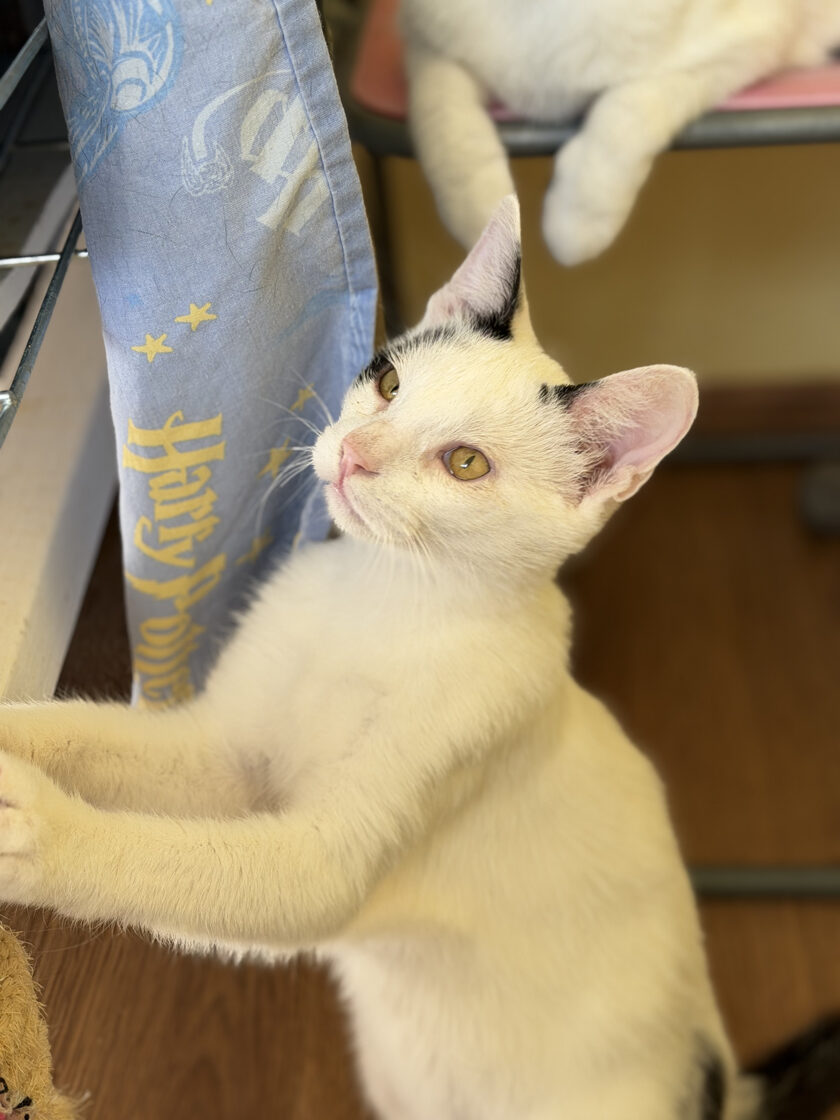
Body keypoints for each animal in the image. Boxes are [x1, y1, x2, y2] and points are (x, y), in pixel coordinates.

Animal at [0, 196, 838, 1119]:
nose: (354, 454)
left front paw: (31, 829)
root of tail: (722, 1092)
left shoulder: (351, 837)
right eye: (391, 384)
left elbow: (183, 866)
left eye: (466, 464)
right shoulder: (227, 755)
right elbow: (87, 736)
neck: (383, 601)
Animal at [402, 0, 840, 264]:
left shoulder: (742, 45)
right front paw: (483, 219)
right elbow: (447, 132)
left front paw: (574, 225)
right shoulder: (426, 47)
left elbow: (627, 118)